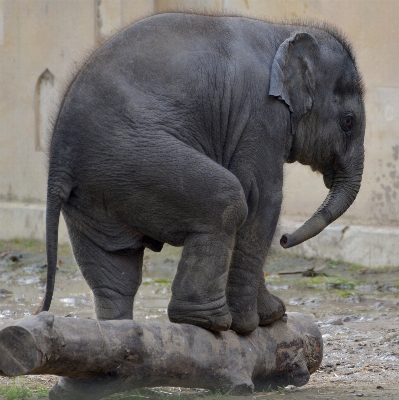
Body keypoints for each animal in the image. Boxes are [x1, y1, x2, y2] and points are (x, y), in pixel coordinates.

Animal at [39, 12, 368, 334]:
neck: (283, 31)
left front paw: (269, 316)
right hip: (133, 159)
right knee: (228, 203)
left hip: (94, 193)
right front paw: (257, 322)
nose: (286, 240)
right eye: (348, 122)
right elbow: (261, 200)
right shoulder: (260, 115)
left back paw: (121, 334)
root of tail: (58, 162)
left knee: (116, 269)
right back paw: (209, 322)